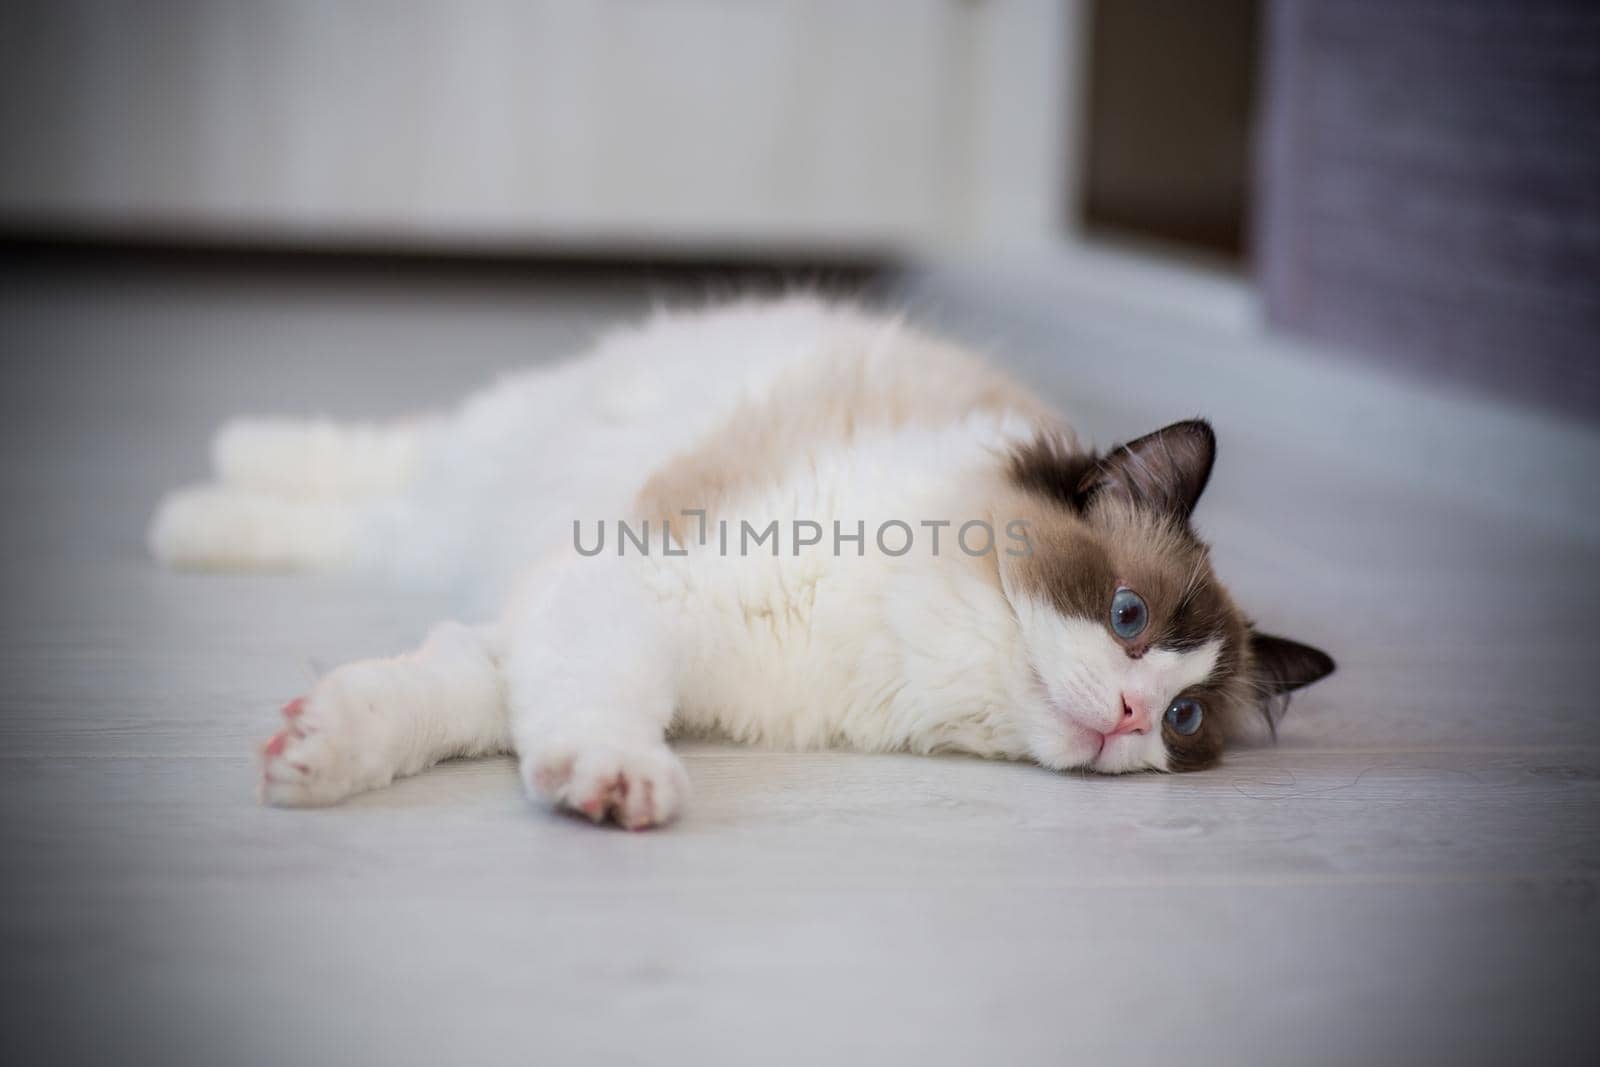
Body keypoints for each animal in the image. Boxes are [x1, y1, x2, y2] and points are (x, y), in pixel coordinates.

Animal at [150, 295, 1331, 831]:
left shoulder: (554, 624)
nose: (1131, 716)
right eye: (1129, 617)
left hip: (449, 525)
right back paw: (194, 496)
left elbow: (444, 698)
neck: (940, 659)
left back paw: (198, 517)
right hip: (490, 457)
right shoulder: (630, 587)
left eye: (1183, 720)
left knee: (369, 518)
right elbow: (594, 710)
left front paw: (312, 754)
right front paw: (618, 784)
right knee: (372, 461)